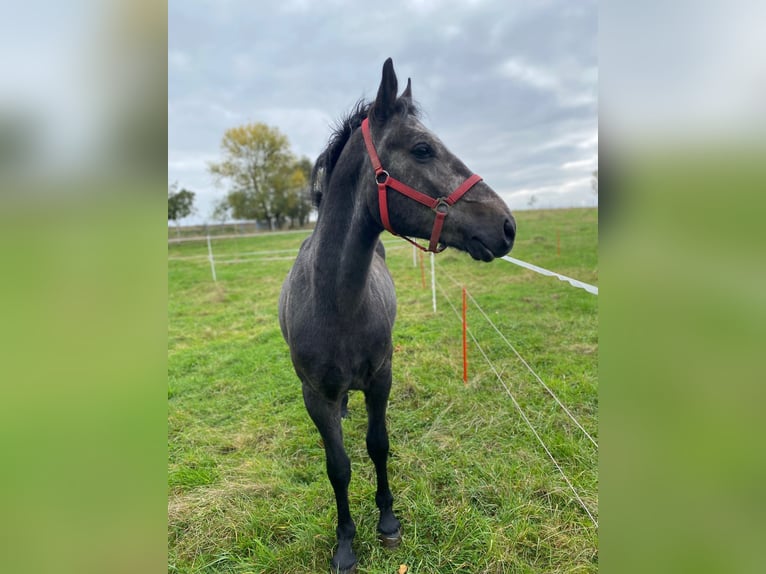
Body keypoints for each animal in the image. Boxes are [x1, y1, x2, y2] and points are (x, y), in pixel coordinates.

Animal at [278, 58, 515, 573]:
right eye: (422, 149)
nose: (507, 226)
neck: (338, 303)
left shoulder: (381, 378)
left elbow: (378, 445)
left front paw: (387, 522)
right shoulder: (315, 396)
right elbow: (338, 467)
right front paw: (345, 543)